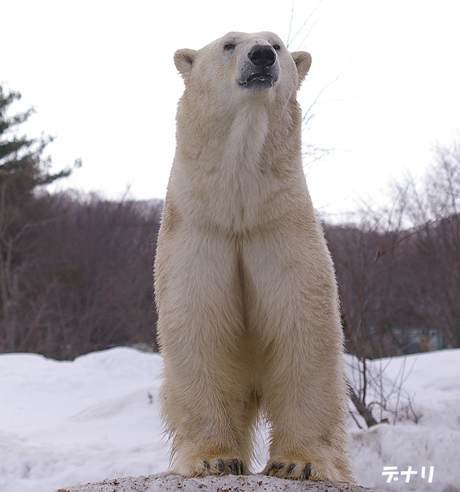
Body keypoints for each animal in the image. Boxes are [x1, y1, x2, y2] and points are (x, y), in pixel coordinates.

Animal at [155, 31, 352, 484]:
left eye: (277, 45)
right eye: (229, 44)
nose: (261, 55)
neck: (238, 209)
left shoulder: (280, 231)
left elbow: (304, 333)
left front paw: (297, 462)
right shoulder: (200, 235)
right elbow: (198, 331)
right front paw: (215, 459)